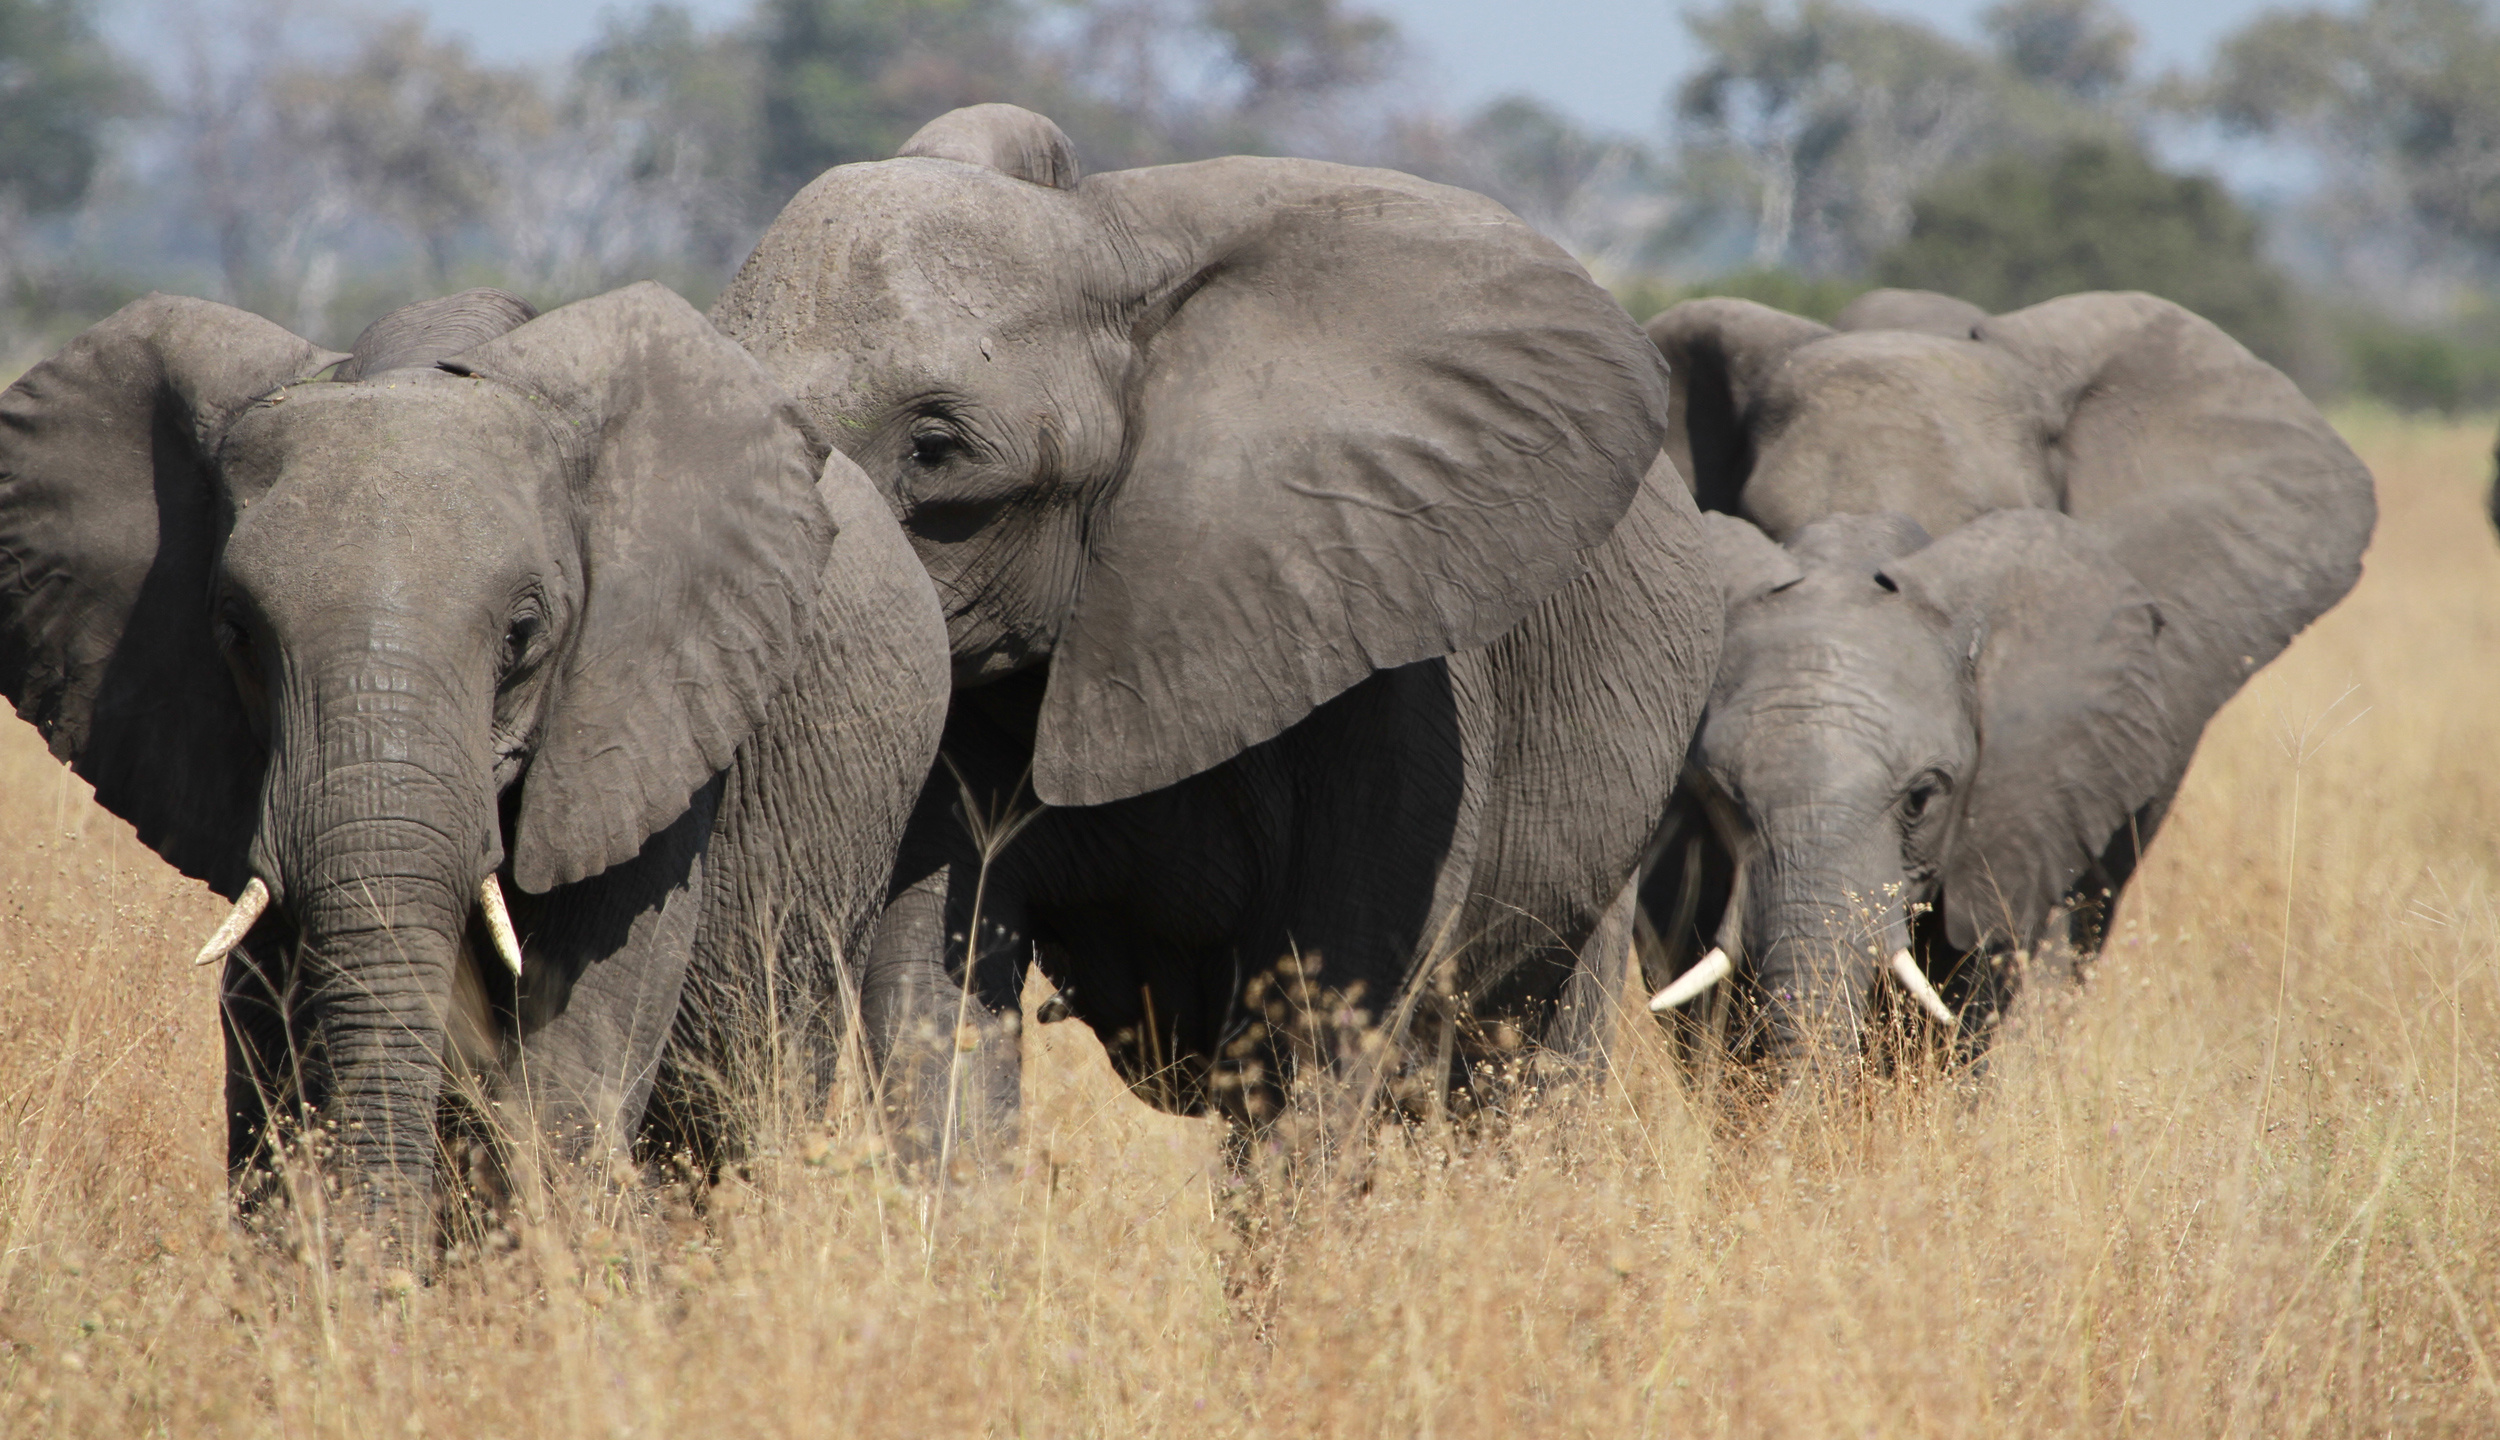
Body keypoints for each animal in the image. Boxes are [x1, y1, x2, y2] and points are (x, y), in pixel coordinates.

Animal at [705, 103, 1720, 1160]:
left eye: (937, 450)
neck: (1111, 249)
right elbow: (928, 994)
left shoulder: (1388, 648)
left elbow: (1319, 1012)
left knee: (1532, 1061)